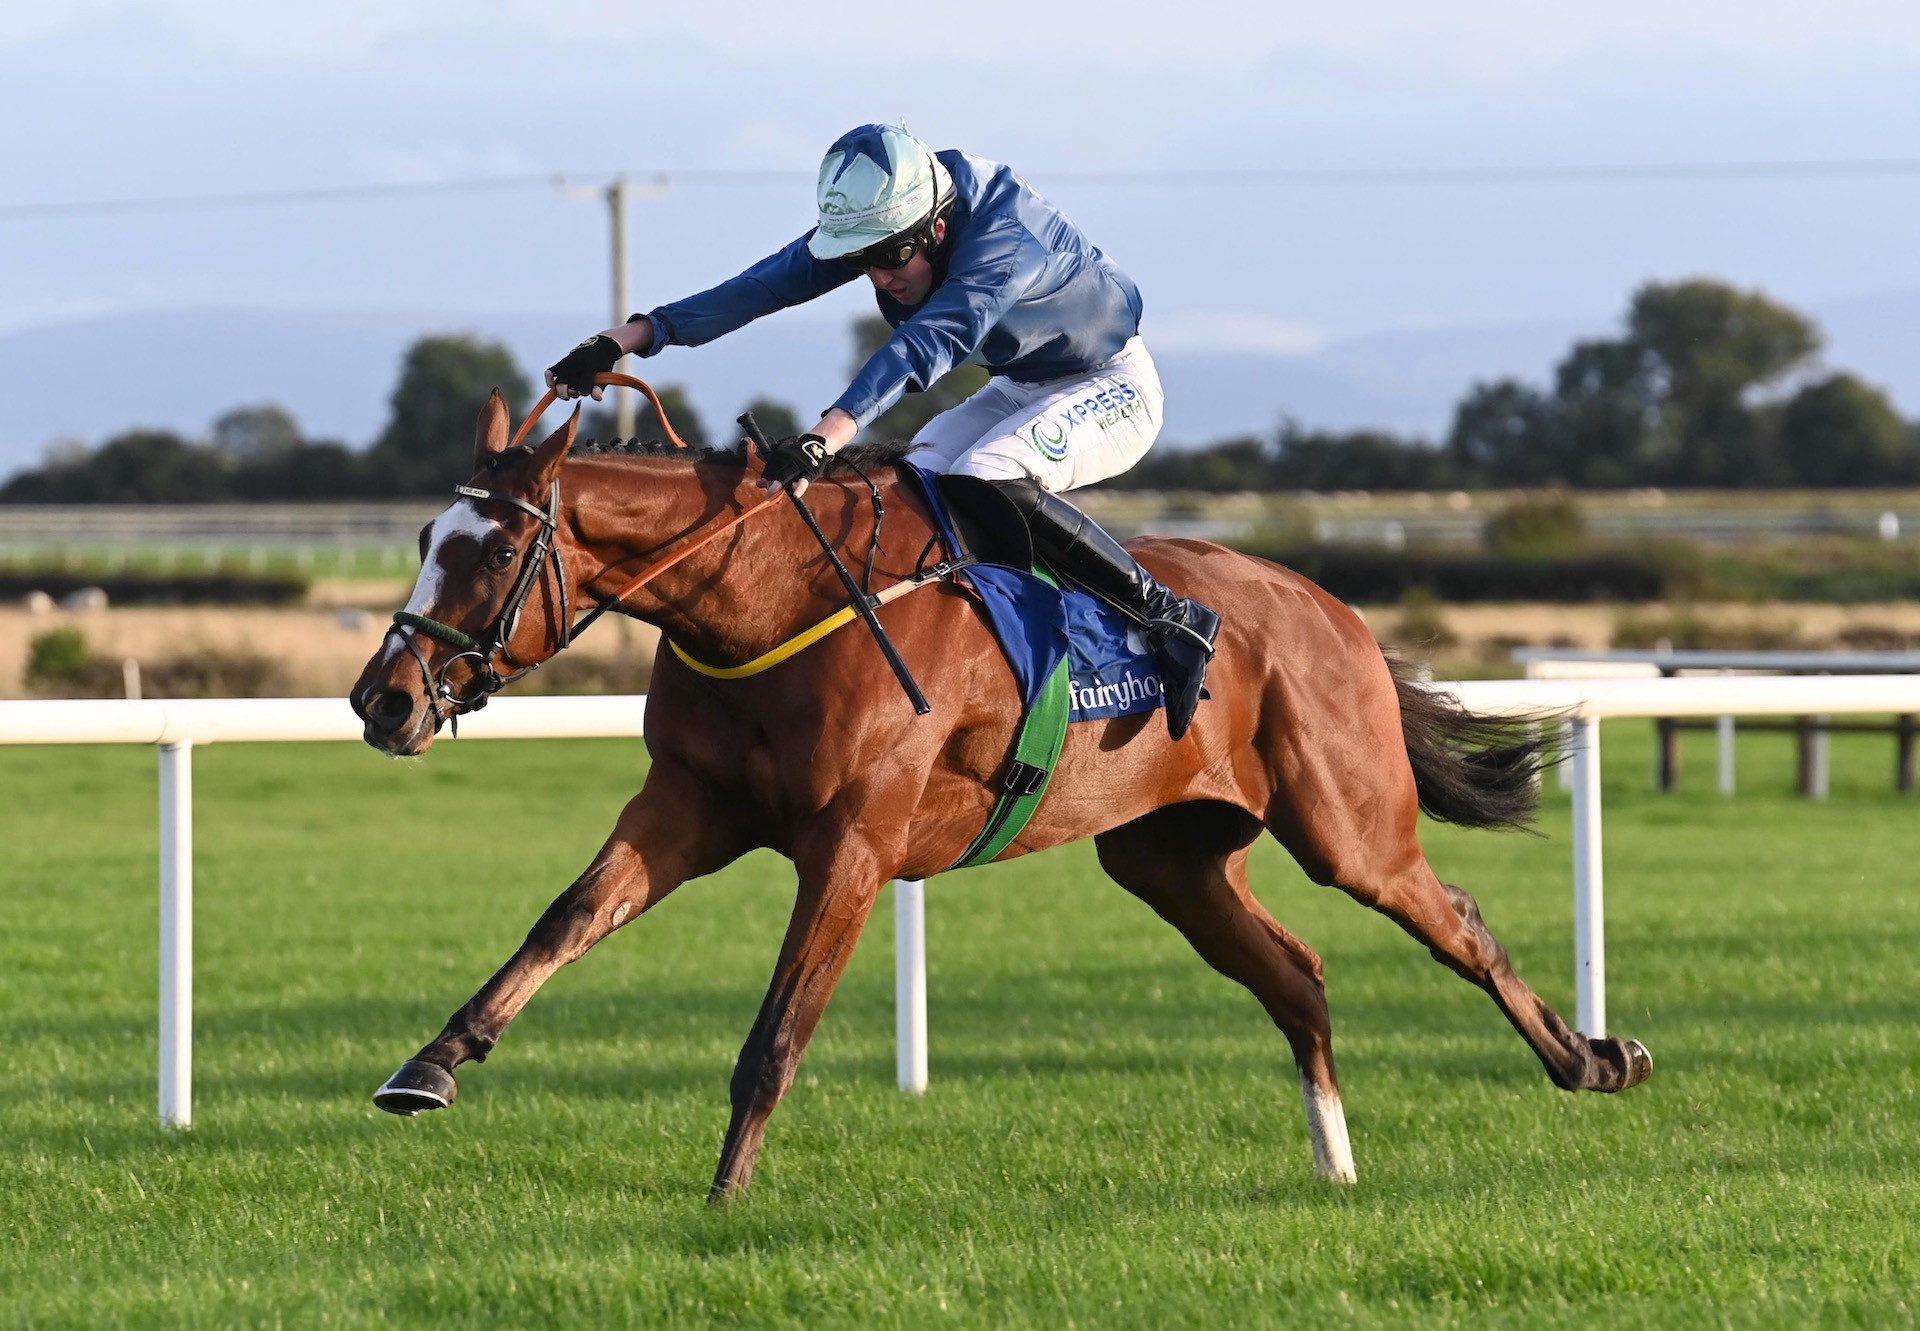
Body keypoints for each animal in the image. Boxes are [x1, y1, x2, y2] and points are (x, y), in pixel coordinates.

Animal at [349, 389, 1651, 1198]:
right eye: (418, 538)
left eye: (488, 551)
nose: (382, 699)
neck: (762, 601)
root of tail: (1329, 605)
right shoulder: (686, 806)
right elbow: (564, 920)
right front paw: (431, 1063)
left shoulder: (854, 843)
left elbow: (778, 1030)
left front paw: (723, 1197)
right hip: (1166, 856)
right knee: (1297, 973)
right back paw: (1336, 1162)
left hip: (1346, 824)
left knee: (1454, 921)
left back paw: (1595, 1059)